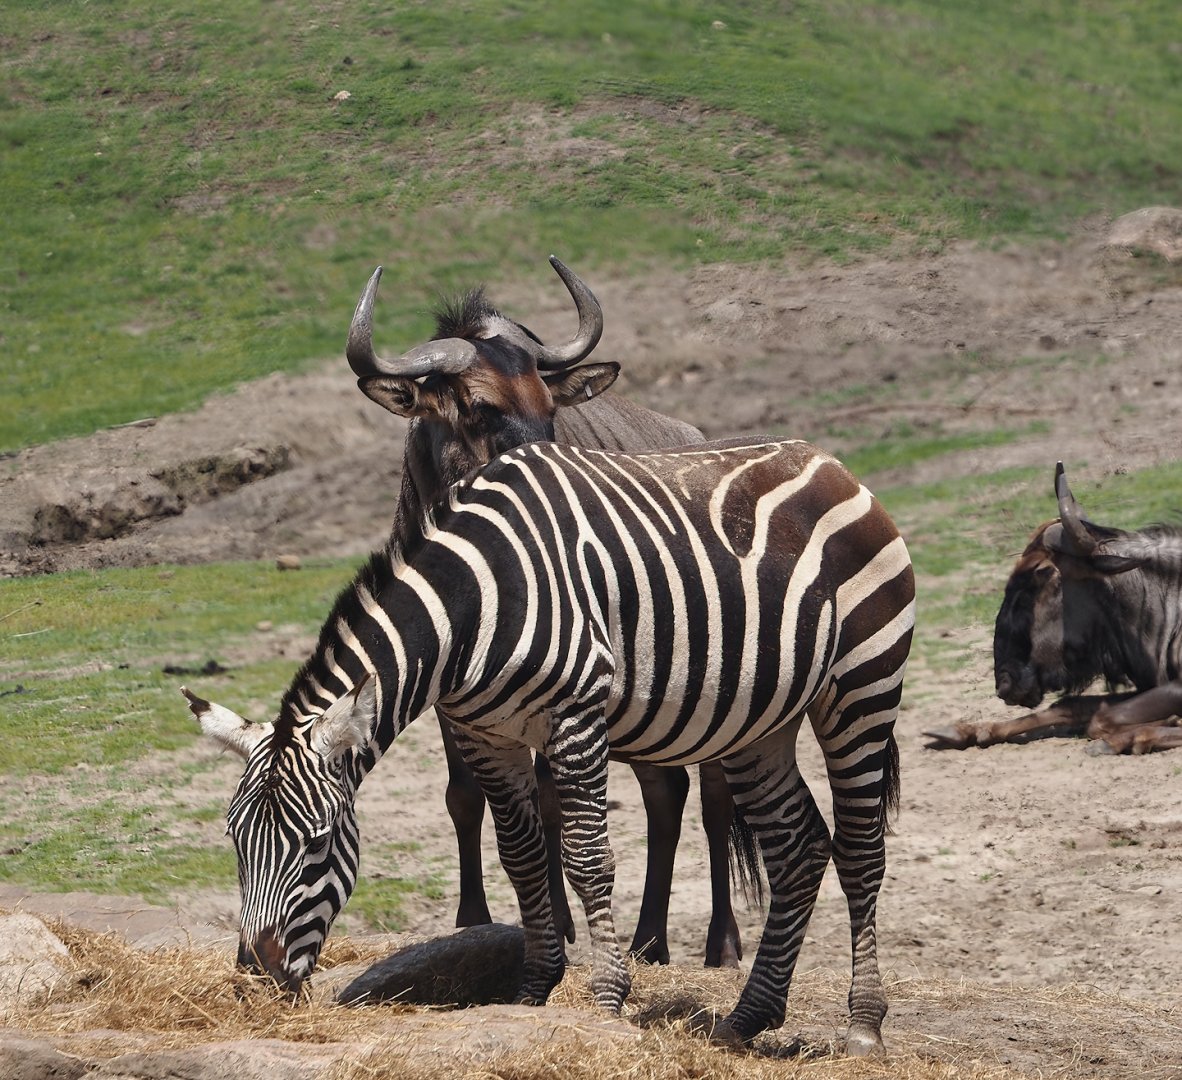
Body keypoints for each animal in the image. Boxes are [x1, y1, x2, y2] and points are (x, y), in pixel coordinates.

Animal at [186, 435, 915, 1053]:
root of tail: (827, 462)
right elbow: (523, 859)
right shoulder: (484, 735)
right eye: (234, 841)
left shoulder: (577, 717)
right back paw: (747, 1017)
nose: (256, 980)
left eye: (315, 846)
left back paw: (863, 1026)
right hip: (758, 723)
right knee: (799, 848)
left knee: (859, 852)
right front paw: (534, 992)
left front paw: (607, 998)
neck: (472, 607)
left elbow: (587, 860)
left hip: (860, 687)